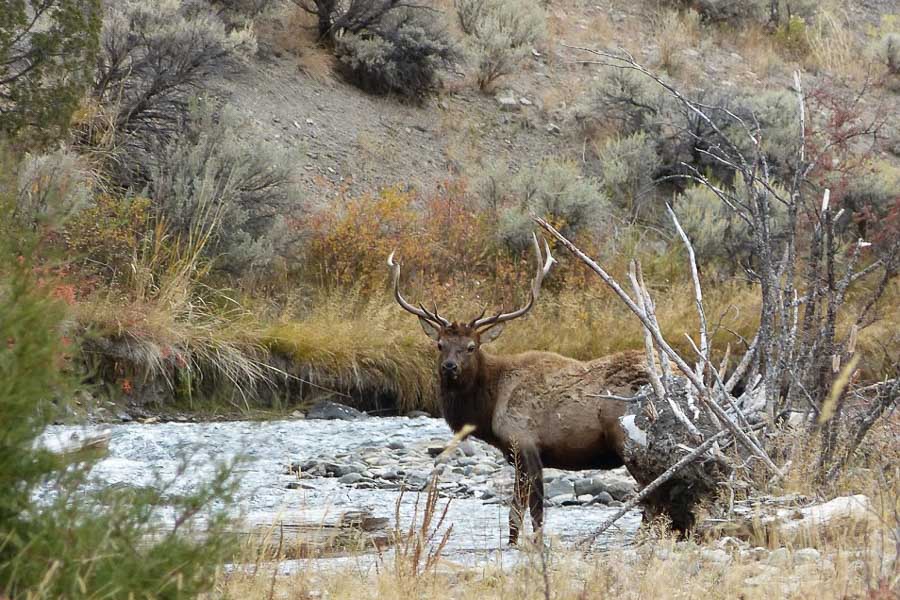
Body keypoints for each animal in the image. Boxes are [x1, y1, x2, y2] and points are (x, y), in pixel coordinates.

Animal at [388, 234, 652, 544]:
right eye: (440, 344)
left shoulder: (526, 442)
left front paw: (534, 544)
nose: (450, 367)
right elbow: (515, 512)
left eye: (471, 346)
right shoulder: (515, 454)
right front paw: (514, 542)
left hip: (630, 440)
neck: (489, 407)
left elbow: (534, 511)